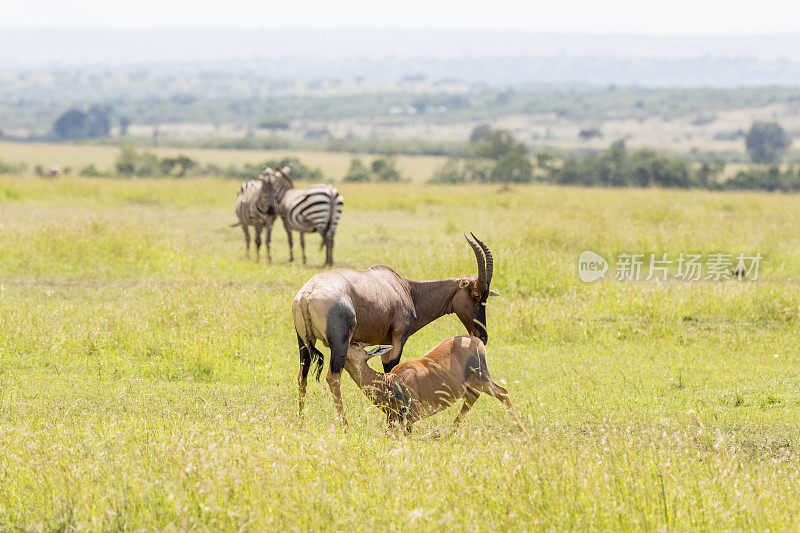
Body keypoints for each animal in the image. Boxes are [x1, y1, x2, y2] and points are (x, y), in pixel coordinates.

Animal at [290, 233, 496, 424]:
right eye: (475, 294)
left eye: (487, 295)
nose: (482, 336)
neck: (404, 286)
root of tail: (307, 293)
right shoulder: (398, 337)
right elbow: (392, 368)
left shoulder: (385, 342)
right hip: (340, 343)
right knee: (333, 378)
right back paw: (345, 426)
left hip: (304, 342)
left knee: (302, 377)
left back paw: (301, 421)